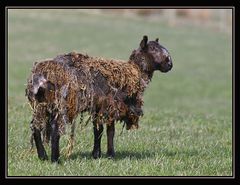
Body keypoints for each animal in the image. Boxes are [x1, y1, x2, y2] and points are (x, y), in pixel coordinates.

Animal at [25, 35, 172, 162]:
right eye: (152, 49)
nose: (170, 64)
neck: (134, 71)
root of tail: (41, 75)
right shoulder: (110, 106)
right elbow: (109, 131)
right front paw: (110, 154)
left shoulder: (99, 107)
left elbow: (98, 131)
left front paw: (96, 154)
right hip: (62, 104)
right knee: (55, 128)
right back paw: (55, 159)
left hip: (41, 105)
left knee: (35, 127)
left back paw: (42, 156)